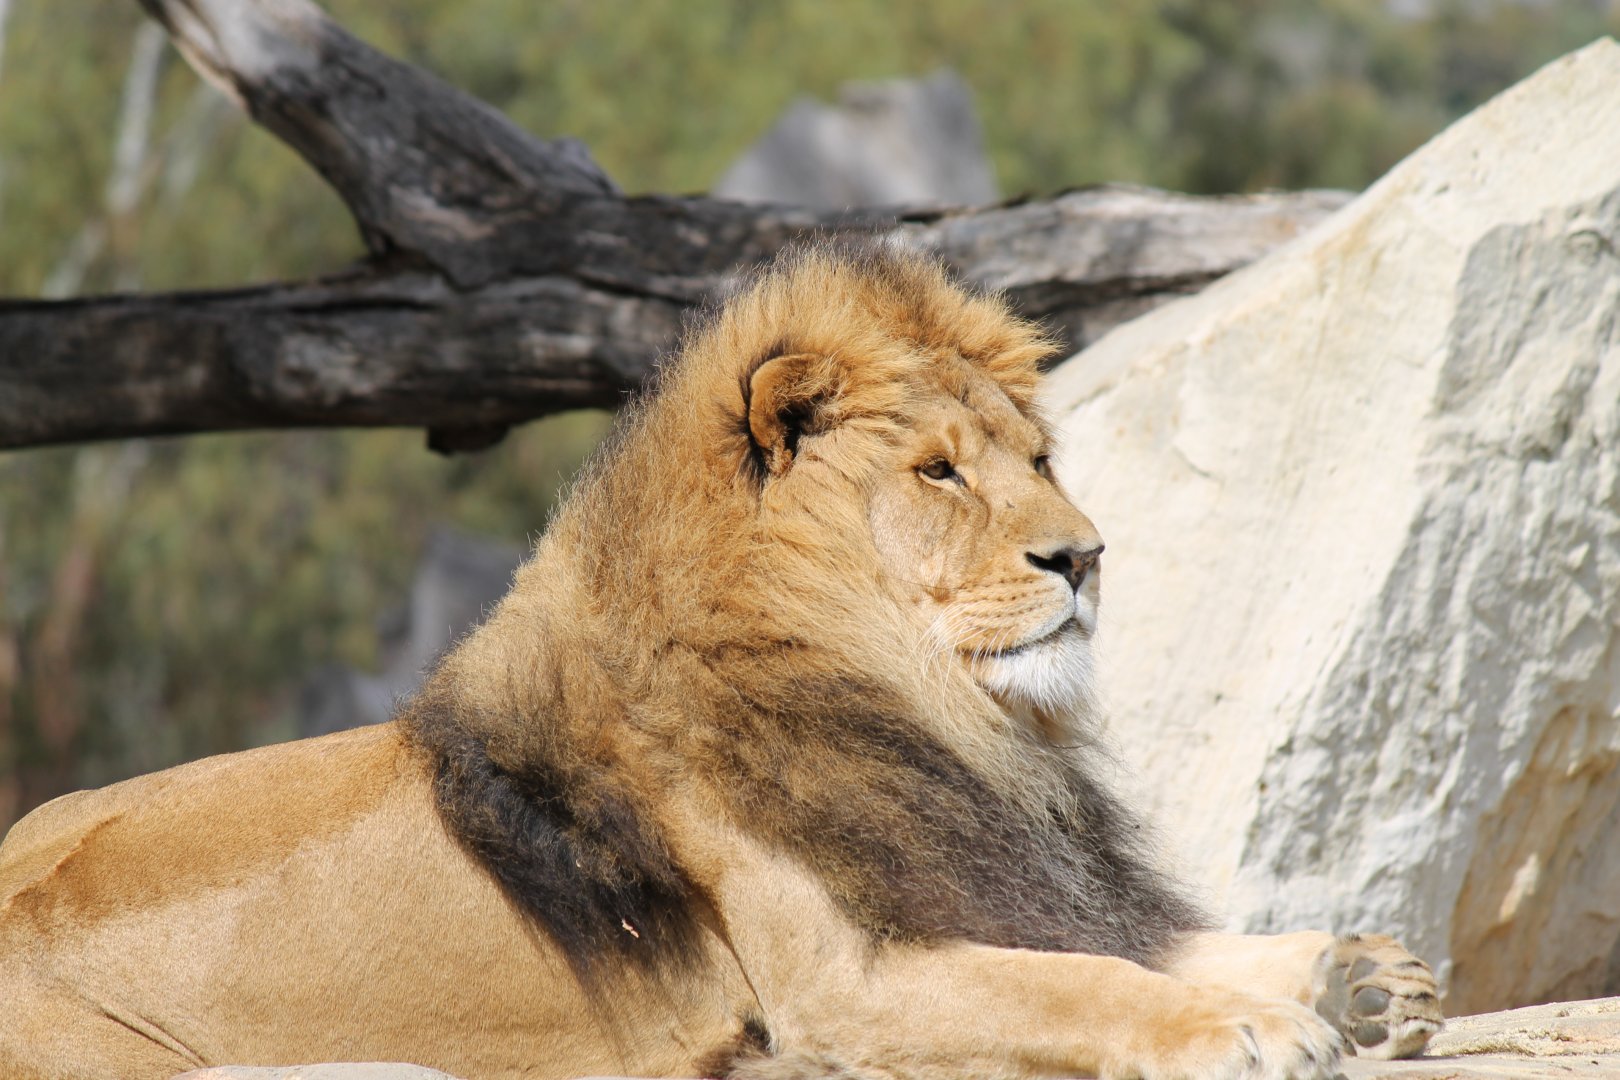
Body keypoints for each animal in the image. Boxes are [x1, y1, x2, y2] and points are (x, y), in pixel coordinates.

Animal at [0, 245, 1441, 1080]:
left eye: (1038, 460)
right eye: (938, 473)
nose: (1084, 556)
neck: (931, 707)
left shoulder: (983, 878)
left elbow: (1156, 943)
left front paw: (1362, 978)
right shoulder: (840, 990)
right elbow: (1081, 982)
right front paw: (1241, 1028)